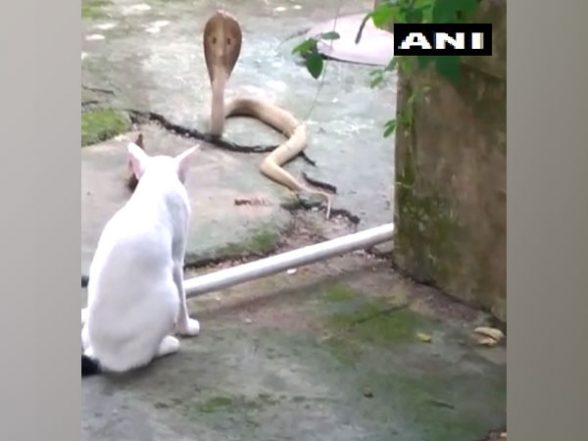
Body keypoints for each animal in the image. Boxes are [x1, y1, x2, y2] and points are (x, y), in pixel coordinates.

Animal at [80, 141, 201, 374]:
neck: (155, 183)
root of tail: (99, 353)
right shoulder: (176, 259)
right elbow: (183, 297)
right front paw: (187, 327)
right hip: (167, 296)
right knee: (140, 358)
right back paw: (168, 344)